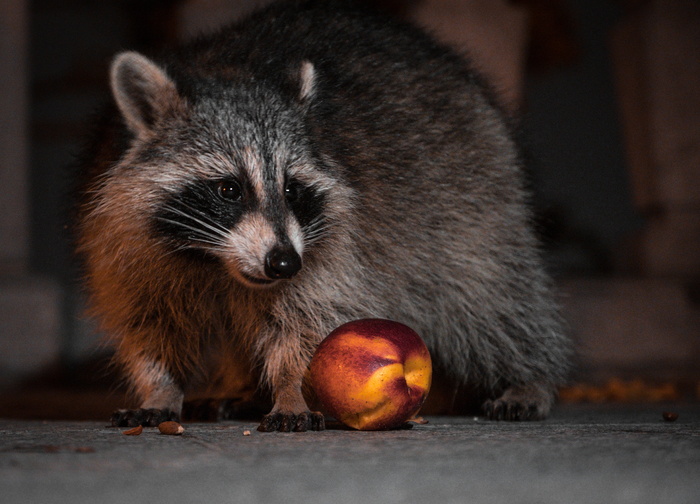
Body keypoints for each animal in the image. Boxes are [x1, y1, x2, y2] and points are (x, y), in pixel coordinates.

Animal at [75, 0, 568, 434]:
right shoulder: (128, 239)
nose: (284, 263)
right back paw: (242, 388)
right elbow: (149, 320)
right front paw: (159, 387)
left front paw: (292, 389)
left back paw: (530, 375)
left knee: (489, 295)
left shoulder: (335, 248)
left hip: (474, 194)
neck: (216, 262)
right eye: (229, 189)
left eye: (292, 189)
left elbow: (308, 319)